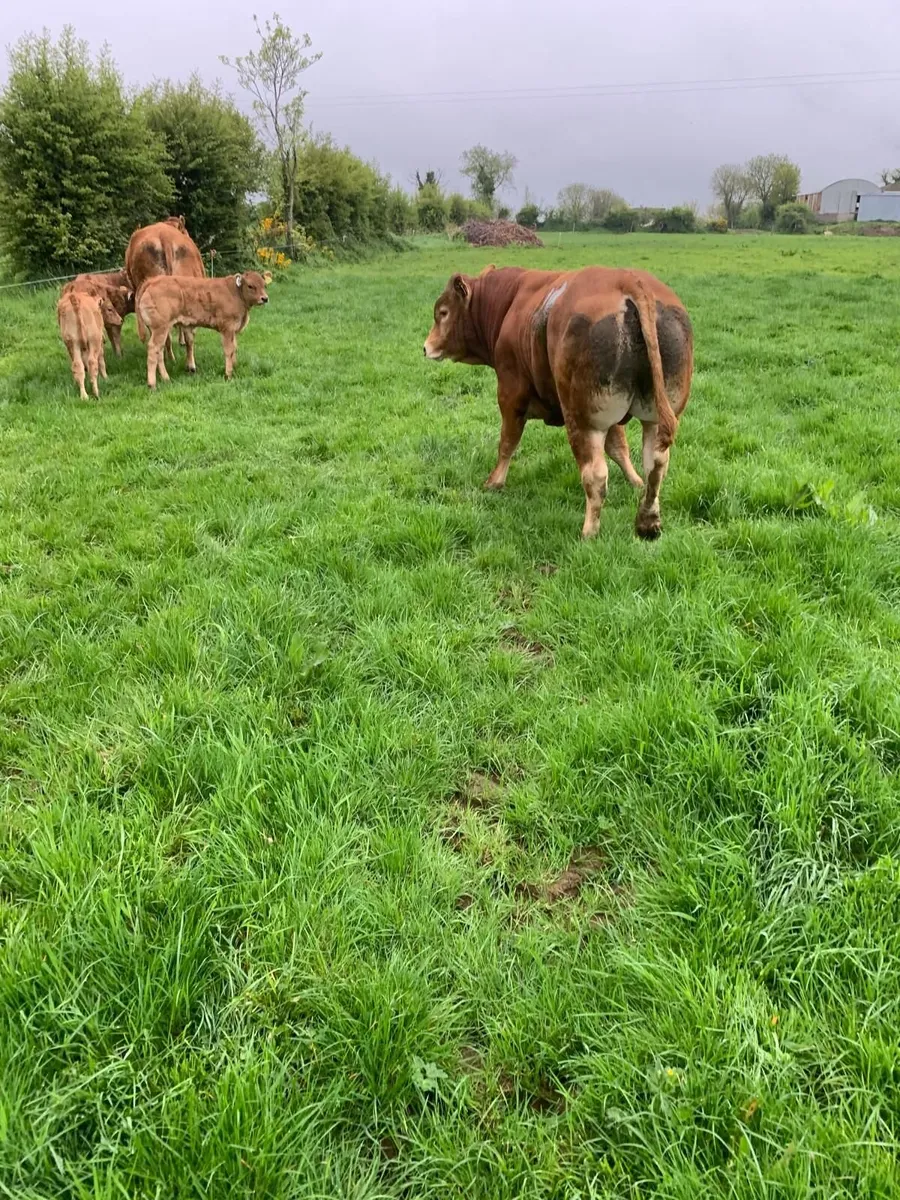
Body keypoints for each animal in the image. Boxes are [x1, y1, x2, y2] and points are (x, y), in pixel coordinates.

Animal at [136, 270, 270, 389]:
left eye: (264, 285)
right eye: (250, 286)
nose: (265, 298)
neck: (236, 293)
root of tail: (153, 280)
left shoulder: (233, 331)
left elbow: (234, 348)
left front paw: (234, 366)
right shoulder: (227, 328)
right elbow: (228, 350)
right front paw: (228, 374)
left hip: (158, 330)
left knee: (159, 351)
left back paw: (166, 378)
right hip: (160, 328)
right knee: (153, 349)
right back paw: (152, 384)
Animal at [423, 265, 693, 539]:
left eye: (443, 313)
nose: (426, 347)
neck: (510, 302)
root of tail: (629, 281)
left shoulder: (510, 394)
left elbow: (507, 443)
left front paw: (494, 482)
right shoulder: (612, 420)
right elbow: (619, 447)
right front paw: (635, 481)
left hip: (583, 420)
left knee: (595, 475)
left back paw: (589, 532)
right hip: (653, 418)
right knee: (656, 464)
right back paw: (648, 521)